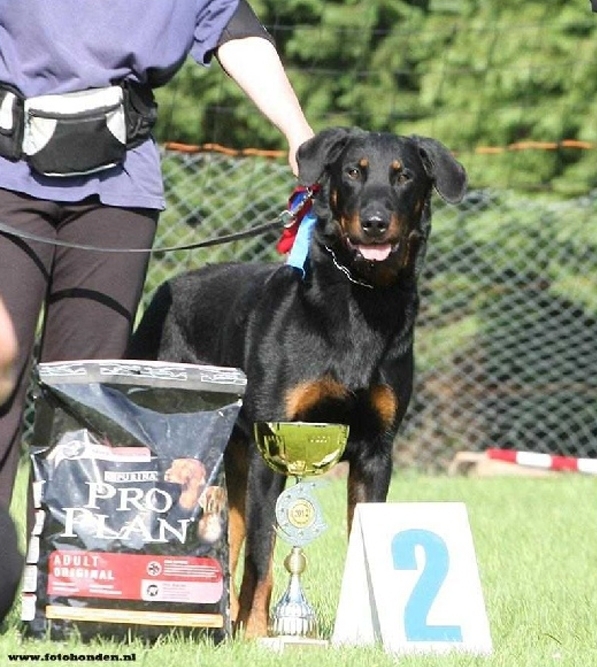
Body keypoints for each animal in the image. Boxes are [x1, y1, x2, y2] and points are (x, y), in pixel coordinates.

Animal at [129, 128, 466, 640]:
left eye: (404, 175)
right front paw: (257, 634)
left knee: (229, 529)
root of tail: (168, 289)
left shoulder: (376, 451)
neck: (362, 299)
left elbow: (358, 540)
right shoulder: (275, 442)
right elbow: (265, 551)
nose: (374, 223)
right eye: (353, 171)